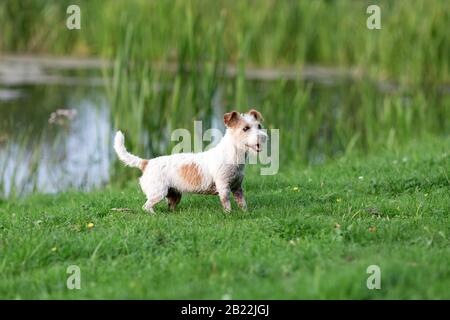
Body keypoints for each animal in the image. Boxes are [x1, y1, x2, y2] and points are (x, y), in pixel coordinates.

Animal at [113, 109, 268, 212]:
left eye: (259, 126)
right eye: (245, 128)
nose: (263, 137)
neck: (233, 155)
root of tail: (146, 162)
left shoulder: (237, 187)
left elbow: (243, 203)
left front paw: (245, 213)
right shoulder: (223, 186)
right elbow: (226, 203)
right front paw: (229, 215)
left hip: (174, 195)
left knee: (168, 206)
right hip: (158, 192)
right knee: (146, 206)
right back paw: (153, 214)